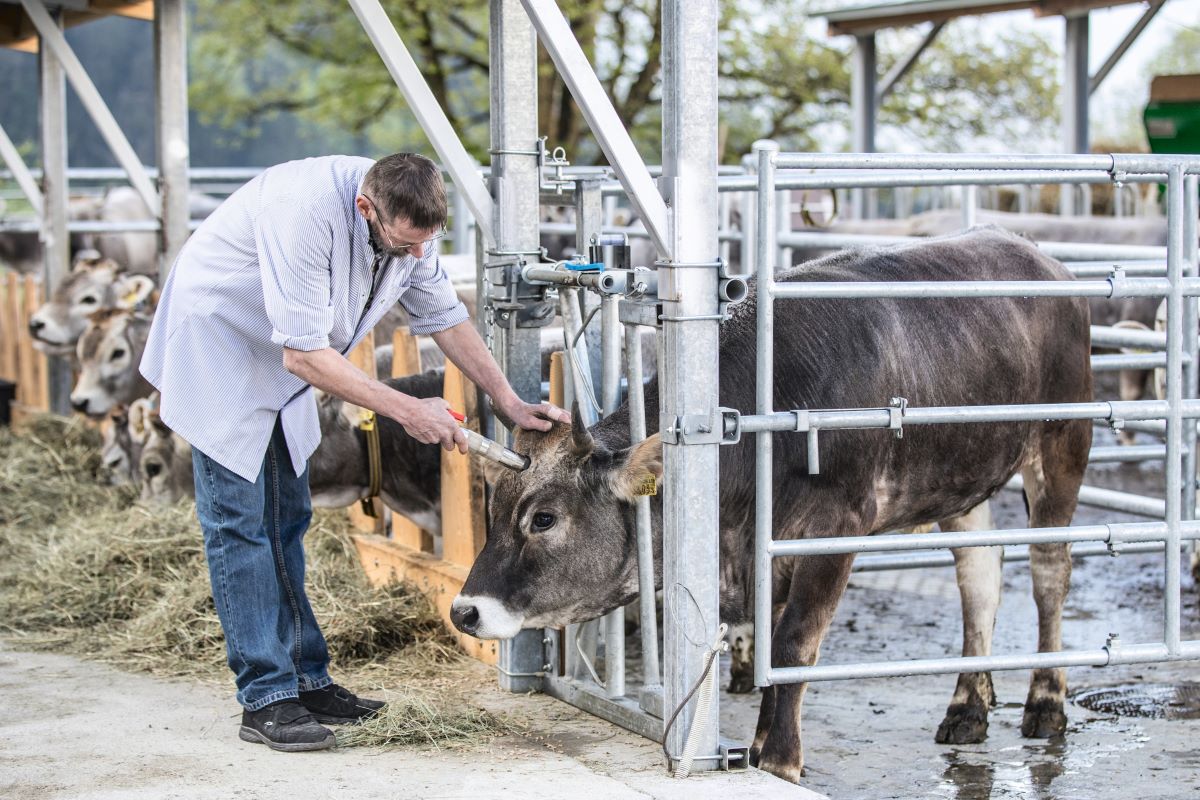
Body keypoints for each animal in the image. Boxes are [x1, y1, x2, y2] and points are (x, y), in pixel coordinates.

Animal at [448, 227, 1089, 786]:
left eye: (544, 519)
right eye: (496, 508)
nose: (465, 612)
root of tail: (1037, 255)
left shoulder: (835, 529)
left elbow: (792, 644)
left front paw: (780, 758)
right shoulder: (764, 547)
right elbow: (767, 644)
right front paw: (755, 748)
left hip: (1062, 444)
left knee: (1049, 572)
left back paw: (1046, 702)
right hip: (963, 476)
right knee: (979, 576)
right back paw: (967, 707)